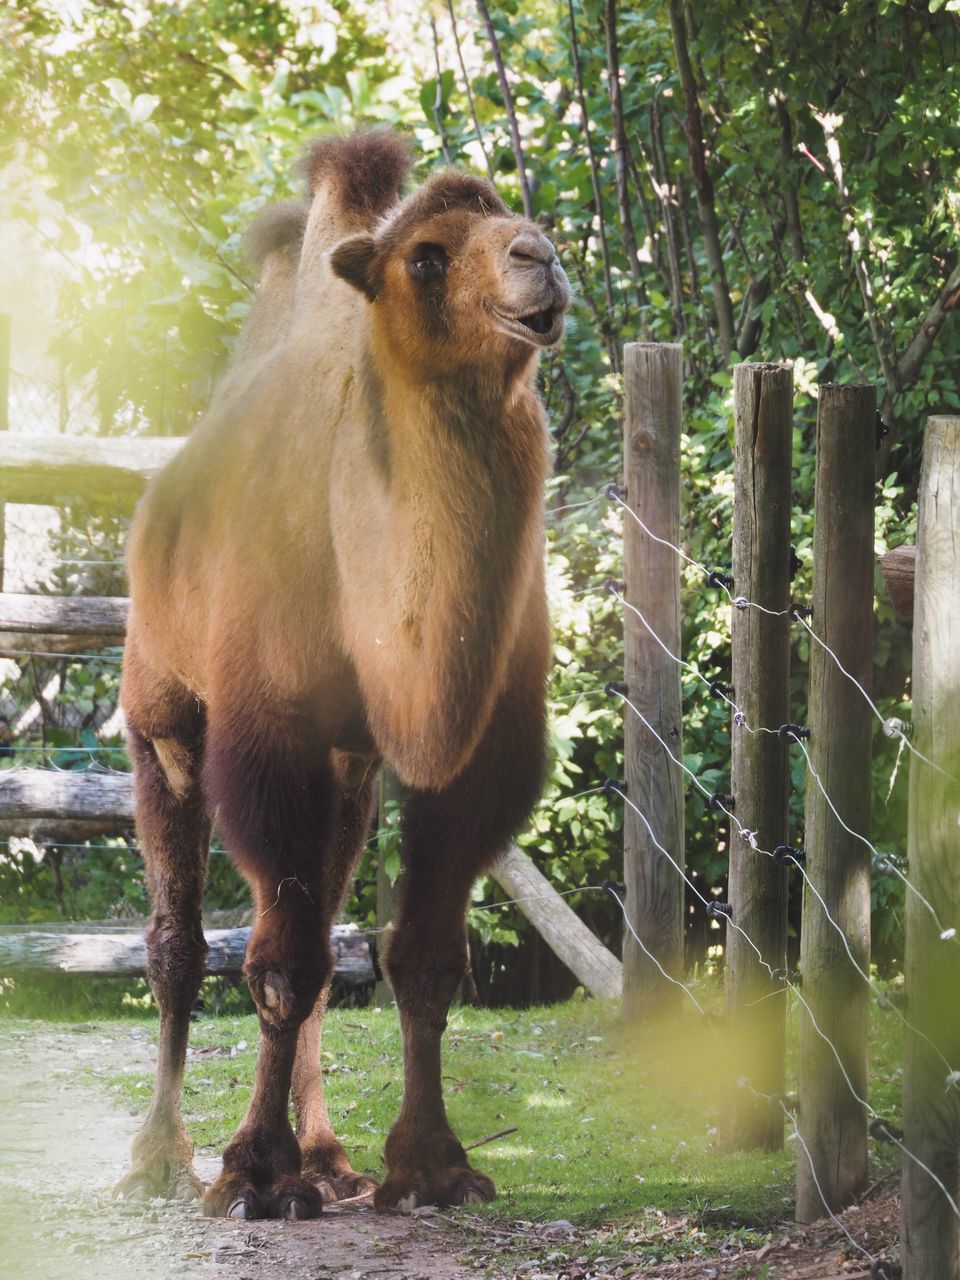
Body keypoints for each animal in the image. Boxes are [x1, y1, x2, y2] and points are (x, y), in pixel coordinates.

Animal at [117, 129, 576, 1218]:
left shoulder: (472, 753)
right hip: (160, 712)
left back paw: (327, 1158)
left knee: (328, 935)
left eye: (518, 217)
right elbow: (280, 961)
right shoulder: (267, 733)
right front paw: (252, 1171)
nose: (540, 256)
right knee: (179, 941)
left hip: (350, 768)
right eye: (427, 259)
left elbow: (425, 959)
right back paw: (161, 1154)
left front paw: (432, 1164)